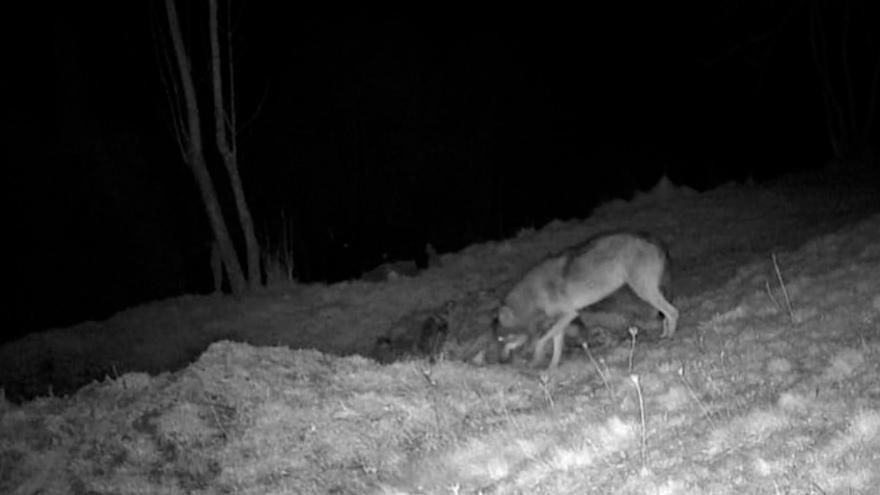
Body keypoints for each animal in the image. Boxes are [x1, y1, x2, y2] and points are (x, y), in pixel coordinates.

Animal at [496, 232, 678, 370]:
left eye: (501, 340)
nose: (500, 361)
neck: (533, 295)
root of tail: (656, 240)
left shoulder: (569, 314)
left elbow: (541, 341)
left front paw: (536, 359)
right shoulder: (563, 320)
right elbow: (555, 346)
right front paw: (550, 370)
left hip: (644, 291)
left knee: (673, 312)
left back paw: (669, 338)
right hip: (650, 292)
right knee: (666, 314)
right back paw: (663, 336)